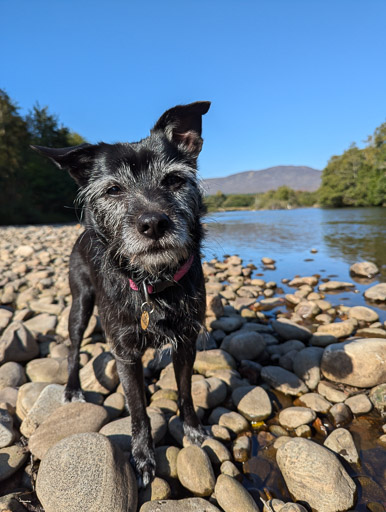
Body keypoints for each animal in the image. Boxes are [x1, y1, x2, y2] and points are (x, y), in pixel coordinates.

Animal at [31, 101, 210, 488]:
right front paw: (142, 456)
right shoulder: (125, 354)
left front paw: (192, 427)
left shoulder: (187, 341)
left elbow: (186, 389)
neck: (152, 284)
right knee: (73, 349)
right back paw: (72, 389)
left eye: (174, 180)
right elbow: (138, 410)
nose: (153, 224)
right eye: (113, 190)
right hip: (80, 305)